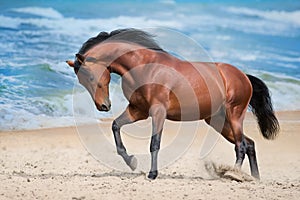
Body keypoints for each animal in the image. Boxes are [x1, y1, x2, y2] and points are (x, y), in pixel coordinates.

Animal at [66, 28, 278, 180]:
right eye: (82, 81)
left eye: (91, 76)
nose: (104, 106)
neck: (144, 67)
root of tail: (244, 77)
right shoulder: (138, 111)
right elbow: (116, 126)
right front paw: (132, 162)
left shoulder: (158, 112)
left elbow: (154, 143)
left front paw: (152, 174)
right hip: (218, 121)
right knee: (249, 144)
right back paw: (254, 178)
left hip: (234, 115)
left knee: (241, 146)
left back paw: (233, 174)